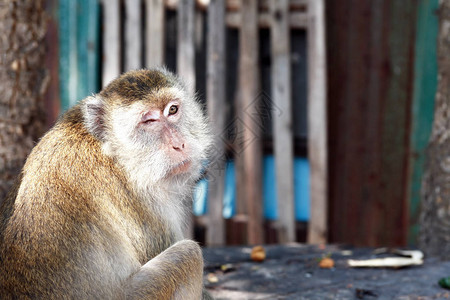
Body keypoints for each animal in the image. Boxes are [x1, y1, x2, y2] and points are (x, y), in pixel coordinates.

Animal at [0, 68, 214, 300]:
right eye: (149, 121)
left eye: (173, 110)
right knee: (188, 254)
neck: (116, 153)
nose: (179, 144)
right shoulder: (146, 203)